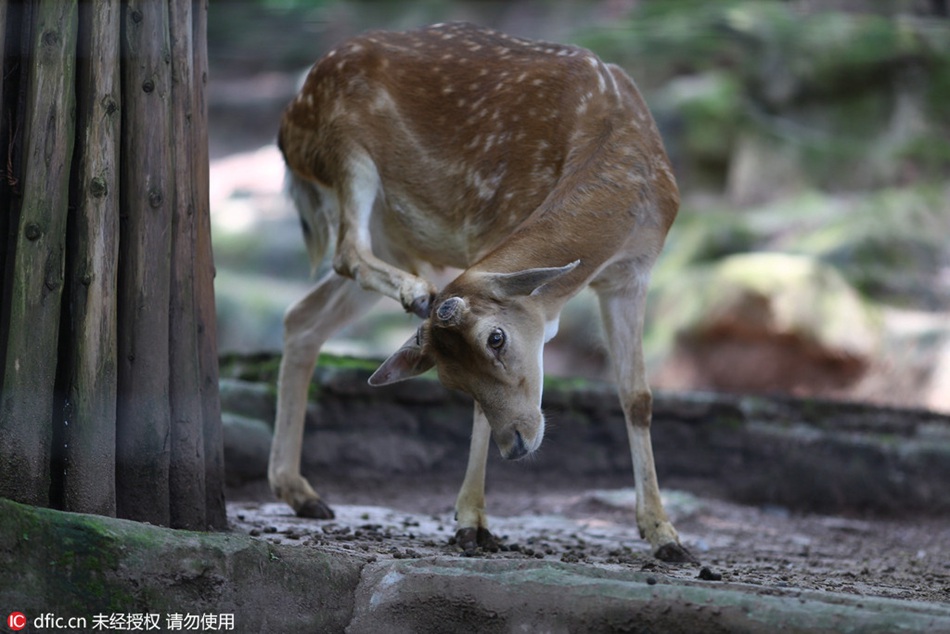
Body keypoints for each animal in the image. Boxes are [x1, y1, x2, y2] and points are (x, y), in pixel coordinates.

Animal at [272, 22, 696, 560]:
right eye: (449, 379)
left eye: (497, 338)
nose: (515, 444)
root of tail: (288, 119)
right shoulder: (492, 219)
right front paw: (471, 522)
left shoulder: (632, 273)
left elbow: (637, 396)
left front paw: (666, 535)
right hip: (343, 152)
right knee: (345, 251)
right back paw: (417, 294)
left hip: (398, 234)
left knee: (302, 316)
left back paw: (300, 493)